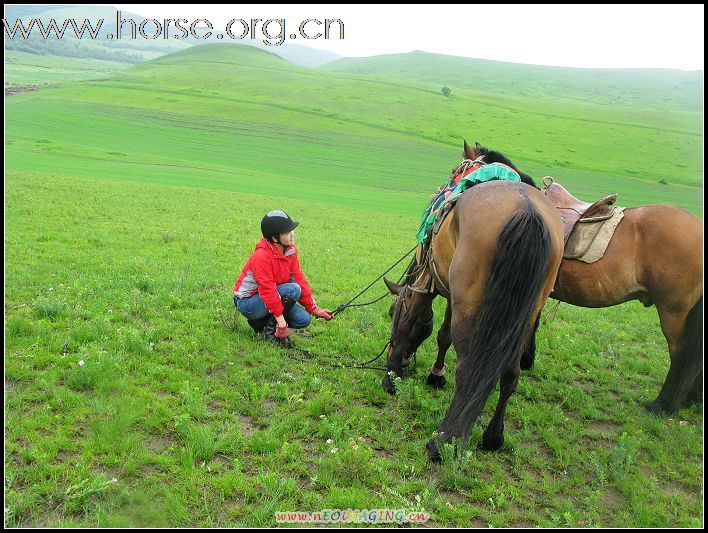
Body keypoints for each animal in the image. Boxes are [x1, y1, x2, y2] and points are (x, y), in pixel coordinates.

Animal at [382, 177, 564, 460]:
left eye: (393, 312)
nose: (397, 359)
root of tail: (526, 212)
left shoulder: (439, 284)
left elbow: (427, 326)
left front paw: (401, 375)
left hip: (470, 303)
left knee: (466, 369)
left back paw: (443, 441)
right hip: (526, 315)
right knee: (510, 373)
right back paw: (493, 437)